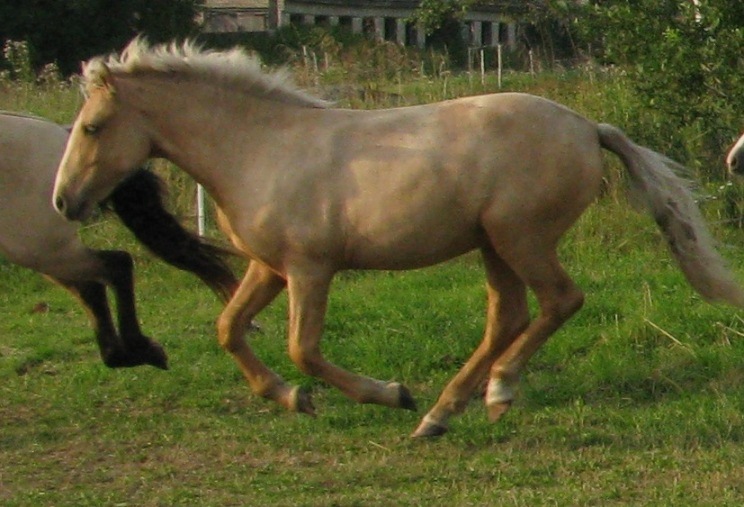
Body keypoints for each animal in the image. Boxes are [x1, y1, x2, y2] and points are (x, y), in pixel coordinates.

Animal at [0, 112, 237, 370]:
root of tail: (64, 134)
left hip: (41, 248)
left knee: (115, 265)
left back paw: (139, 349)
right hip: (44, 251)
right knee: (92, 286)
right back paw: (124, 354)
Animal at [53, 40, 744, 436]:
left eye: (91, 127)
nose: (64, 202)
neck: (260, 149)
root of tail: (586, 125)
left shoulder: (310, 268)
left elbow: (304, 348)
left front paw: (385, 395)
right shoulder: (268, 268)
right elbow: (229, 329)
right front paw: (290, 399)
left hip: (521, 238)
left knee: (558, 301)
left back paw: (485, 394)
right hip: (493, 245)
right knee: (509, 314)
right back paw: (446, 413)